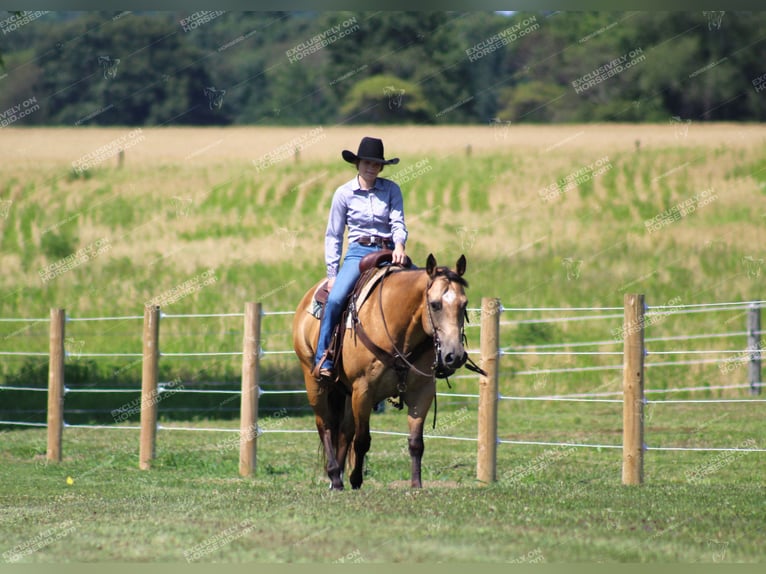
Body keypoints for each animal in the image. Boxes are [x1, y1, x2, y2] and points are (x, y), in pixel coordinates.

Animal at [294, 253, 480, 490]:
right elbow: (362, 441)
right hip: (315, 382)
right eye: (435, 304)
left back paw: (338, 480)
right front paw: (356, 479)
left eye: (464, 304)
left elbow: (416, 442)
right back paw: (335, 476)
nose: (454, 356)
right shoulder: (364, 390)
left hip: (347, 393)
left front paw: (416, 485)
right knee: (324, 425)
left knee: (344, 432)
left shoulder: (422, 391)